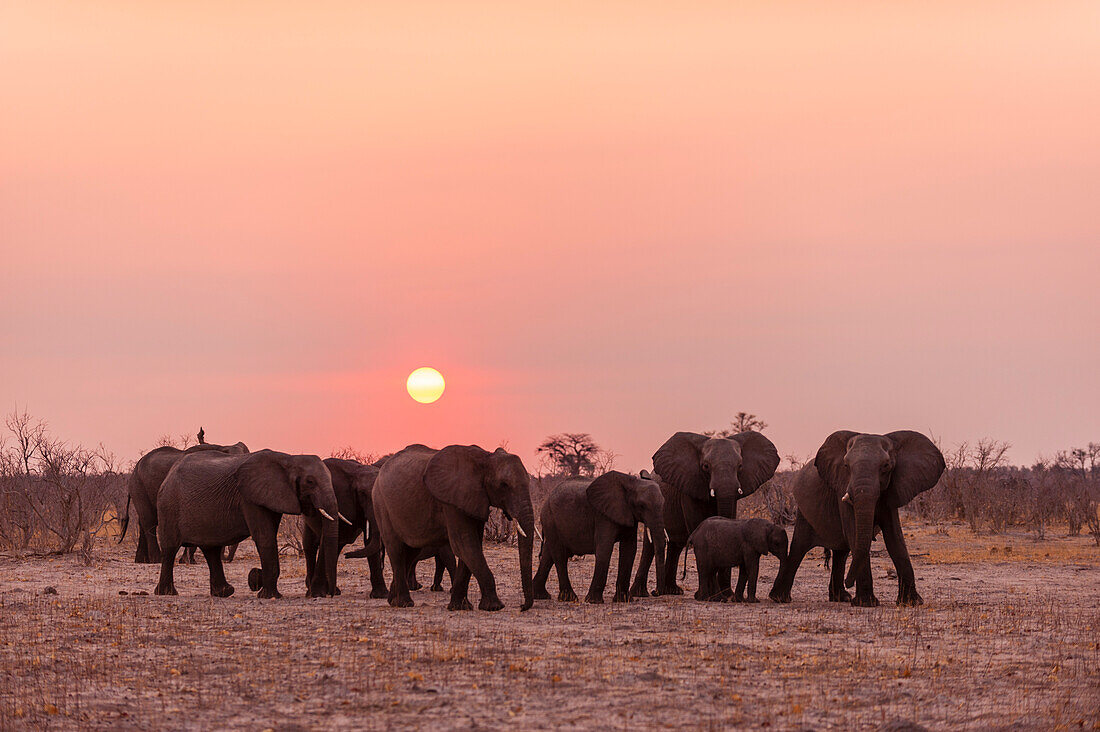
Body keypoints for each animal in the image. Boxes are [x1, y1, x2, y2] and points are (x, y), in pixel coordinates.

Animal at [152, 449, 336, 598]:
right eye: (310, 482)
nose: (330, 594)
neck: (288, 458)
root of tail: (169, 474)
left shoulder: (273, 496)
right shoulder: (249, 497)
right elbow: (264, 537)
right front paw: (269, 596)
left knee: (211, 549)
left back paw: (224, 592)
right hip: (168, 505)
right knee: (170, 548)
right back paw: (166, 593)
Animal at [374, 444, 536, 612]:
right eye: (504, 485)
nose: (521, 606)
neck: (486, 458)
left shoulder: (474, 500)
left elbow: (471, 546)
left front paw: (460, 607)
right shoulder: (452, 502)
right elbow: (464, 544)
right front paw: (494, 607)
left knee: (411, 552)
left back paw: (392, 600)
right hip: (381, 505)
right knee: (397, 551)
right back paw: (404, 603)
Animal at [534, 471, 668, 603]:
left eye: (663, 503)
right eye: (642, 505)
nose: (654, 592)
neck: (632, 482)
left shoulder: (629, 515)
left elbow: (629, 550)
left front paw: (624, 600)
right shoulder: (603, 515)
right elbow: (604, 548)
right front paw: (593, 601)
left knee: (548, 555)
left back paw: (541, 596)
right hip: (550, 519)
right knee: (559, 555)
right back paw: (570, 598)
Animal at [629, 431, 783, 598]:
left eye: (740, 466)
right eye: (706, 466)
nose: (726, 593)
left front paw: (725, 594)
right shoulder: (689, 485)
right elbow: (697, 524)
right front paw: (714, 595)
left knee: (676, 545)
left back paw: (671, 591)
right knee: (650, 546)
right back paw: (641, 593)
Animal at [765, 429, 946, 603]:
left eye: (886, 465)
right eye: (846, 465)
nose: (849, 582)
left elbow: (895, 537)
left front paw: (911, 602)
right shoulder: (842, 487)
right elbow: (854, 532)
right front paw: (866, 603)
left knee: (841, 552)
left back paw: (841, 598)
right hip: (804, 511)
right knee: (800, 547)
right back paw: (780, 598)